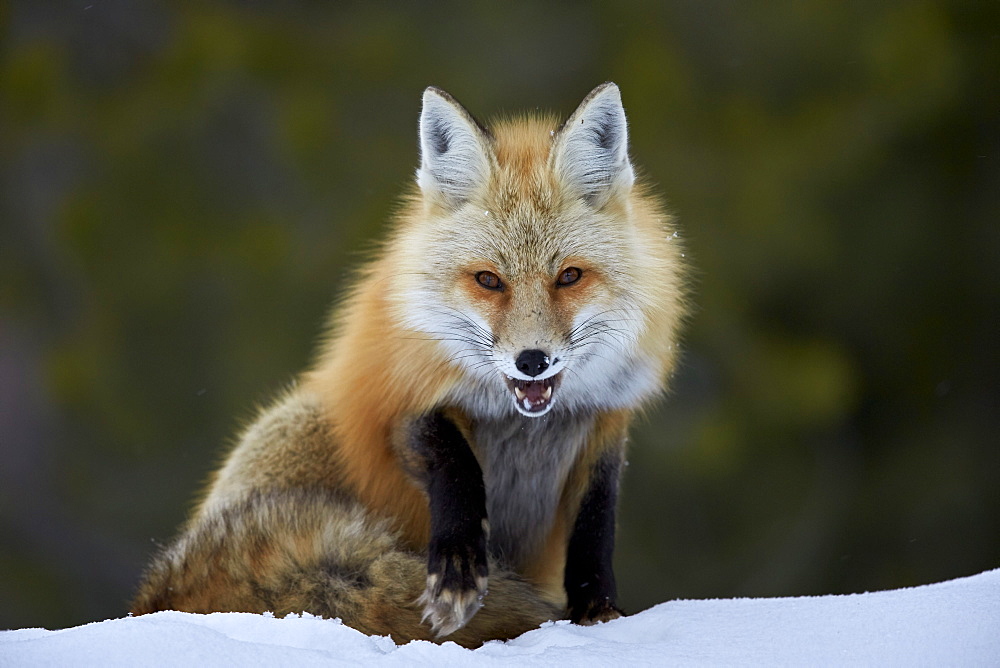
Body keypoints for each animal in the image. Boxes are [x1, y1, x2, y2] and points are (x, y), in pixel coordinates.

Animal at [131, 82, 688, 648]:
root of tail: (155, 599)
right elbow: (456, 467)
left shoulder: (605, 421)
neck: (520, 423)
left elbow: (595, 528)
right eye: (489, 281)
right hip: (297, 430)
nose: (532, 361)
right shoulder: (402, 397)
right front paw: (459, 569)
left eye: (570, 276)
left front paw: (600, 614)